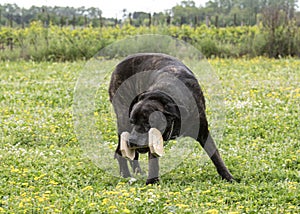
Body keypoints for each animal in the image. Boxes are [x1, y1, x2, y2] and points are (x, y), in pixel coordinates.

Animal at [109, 53, 233, 184]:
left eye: (148, 123)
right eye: (133, 122)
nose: (132, 141)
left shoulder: (203, 132)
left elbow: (215, 156)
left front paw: (228, 176)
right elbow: (153, 161)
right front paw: (152, 181)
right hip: (123, 121)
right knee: (120, 152)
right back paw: (126, 175)